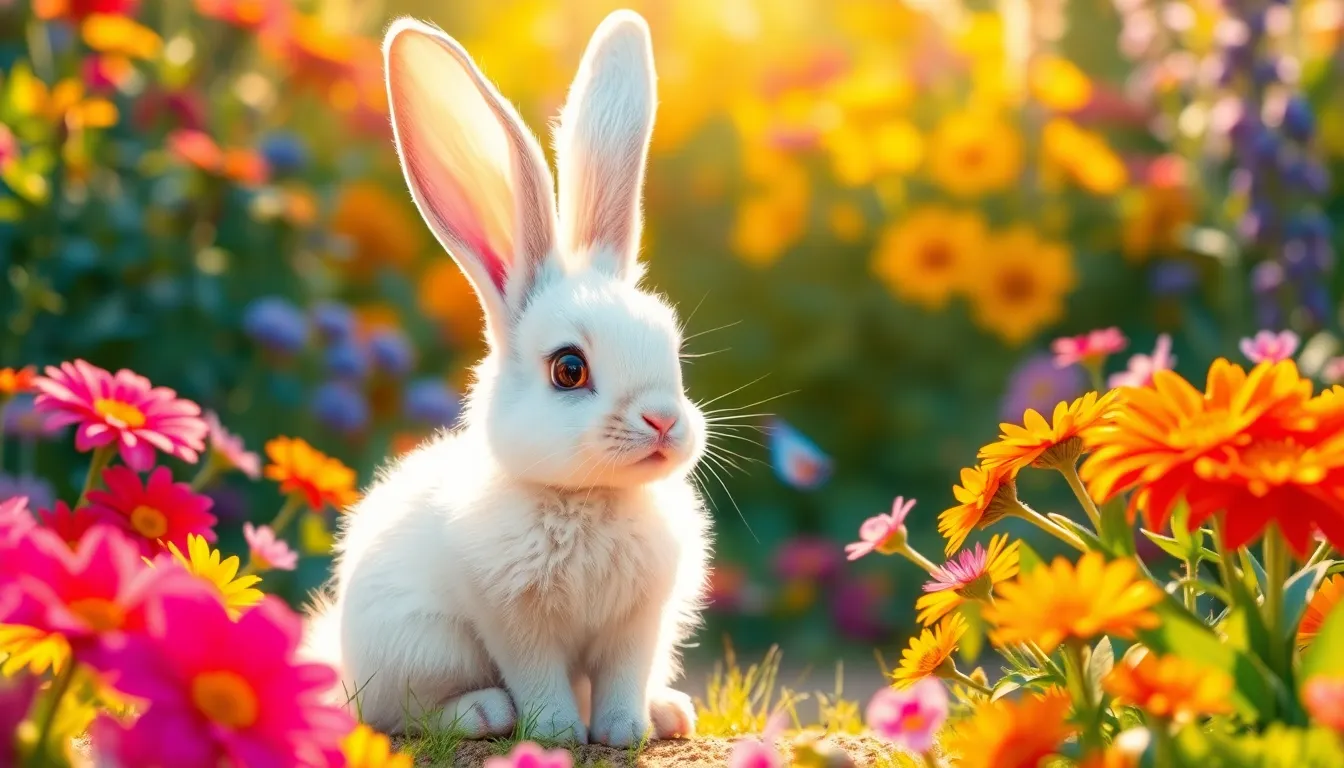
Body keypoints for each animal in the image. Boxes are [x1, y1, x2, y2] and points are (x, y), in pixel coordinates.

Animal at [300, 8, 713, 749]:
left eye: (673, 349)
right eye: (568, 369)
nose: (665, 420)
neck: (587, 499)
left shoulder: (637, 625)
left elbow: (619, 680)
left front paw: (625, 731)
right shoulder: (514, 621)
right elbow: (540, 677)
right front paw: (558, 735)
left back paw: (669, 710)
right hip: (419, 649)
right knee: (392, 712)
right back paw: (486, 714)